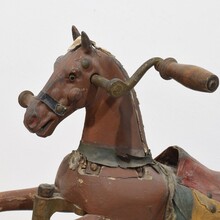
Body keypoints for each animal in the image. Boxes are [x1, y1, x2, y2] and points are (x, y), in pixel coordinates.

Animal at [0, 25, 220, 218]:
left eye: (73, 75)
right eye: (56, 64)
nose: (32, 117)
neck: (113, 164)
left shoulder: (110, 213)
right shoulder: (54, 191)